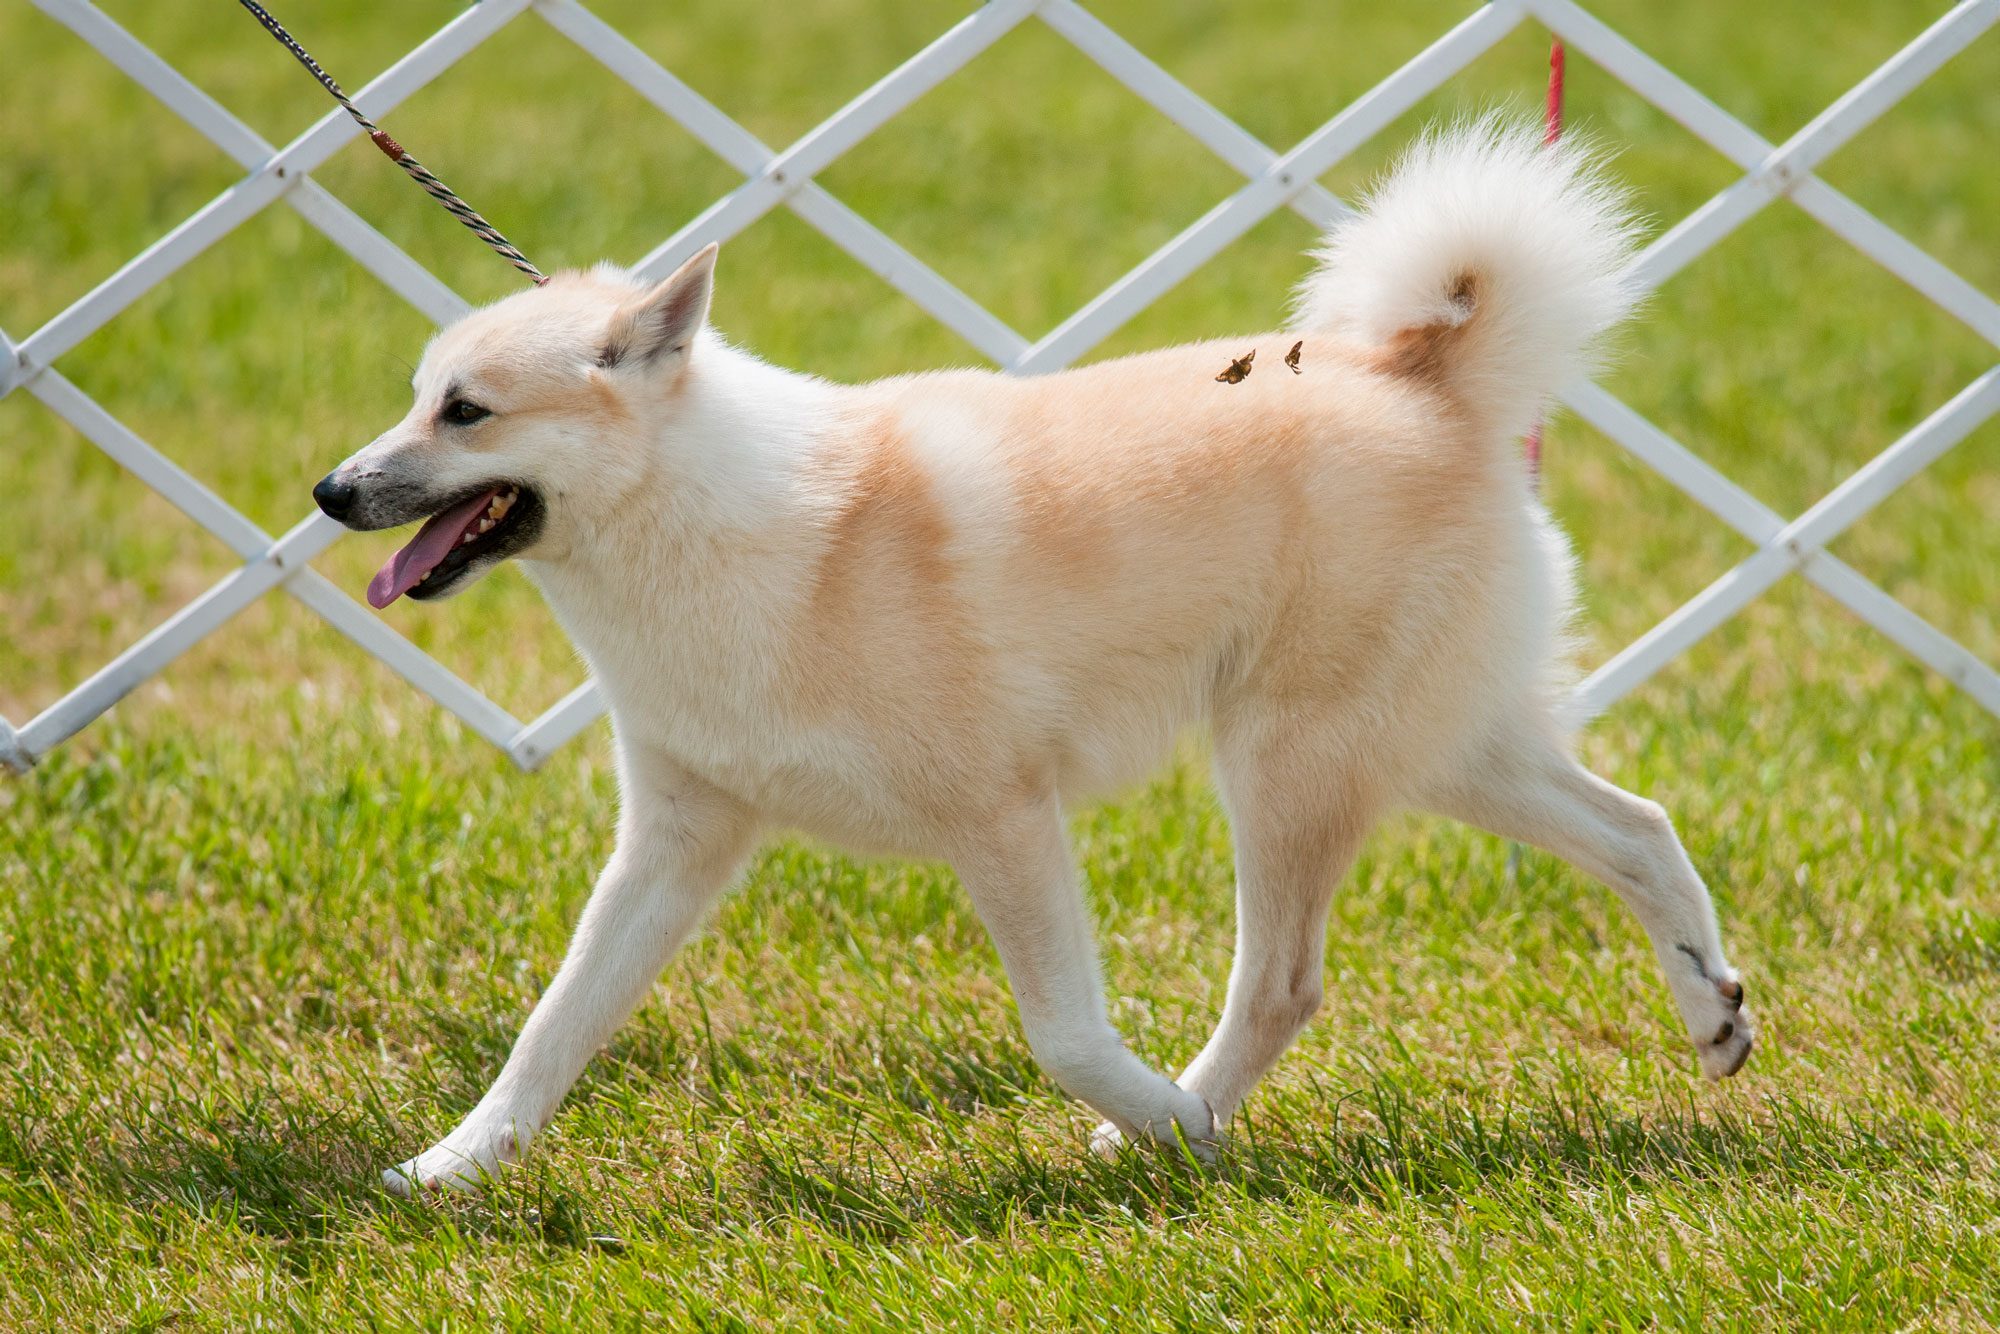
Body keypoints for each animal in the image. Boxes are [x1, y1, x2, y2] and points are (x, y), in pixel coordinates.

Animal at [308, 117, 1752, 1200]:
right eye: (414, 395)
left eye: (467, 411)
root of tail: (1425, 369)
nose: (328, 490)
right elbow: (554, 1024)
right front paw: (449, 1168)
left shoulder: (1002, 815)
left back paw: (1174, 1125)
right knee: (1638, 827)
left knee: (1283, 982)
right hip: (1437, 749)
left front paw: (1159, 1117)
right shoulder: (677, 837)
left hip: (1288, 763)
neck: (717, 523)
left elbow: (1062, 1033)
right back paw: (1714, 1010)